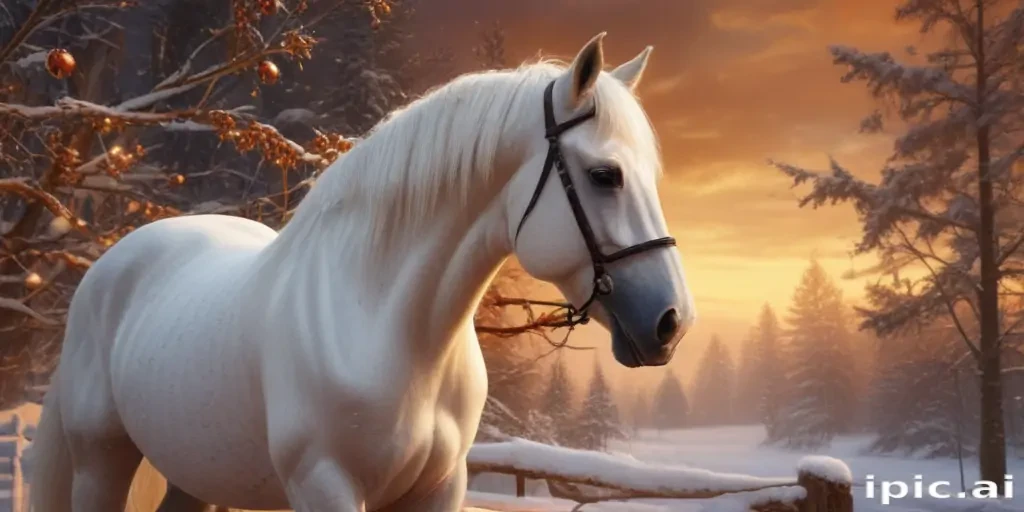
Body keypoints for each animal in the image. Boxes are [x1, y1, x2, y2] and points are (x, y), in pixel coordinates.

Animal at [30, 33, 695, 512]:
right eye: (605, 175)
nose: (673, 322)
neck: (386, 329)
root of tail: (109, 267)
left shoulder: (440, 490)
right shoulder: (325, 486)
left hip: (193, 474)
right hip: (101, 464)